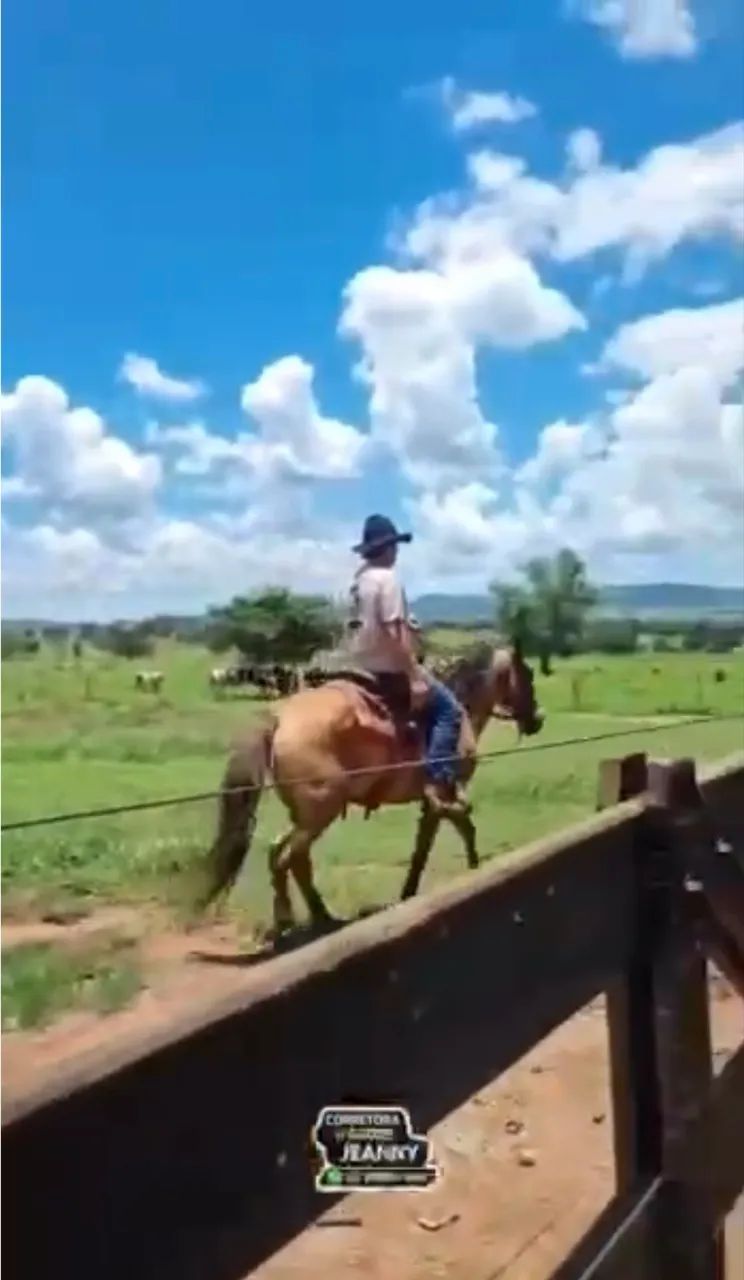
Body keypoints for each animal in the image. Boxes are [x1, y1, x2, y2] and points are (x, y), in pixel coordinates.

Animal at [197, 642, 543, 936]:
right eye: (527, 674)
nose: (538, 719)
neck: (461, 708)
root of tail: (280, 718)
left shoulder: (435, 797)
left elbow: (441, 836)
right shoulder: (442, 794)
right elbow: (449, 834)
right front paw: (469, 871)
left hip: (305, 815)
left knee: (284, 856)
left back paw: (315, 917)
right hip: (320, 812)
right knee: (289, 859)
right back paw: (298, 920)